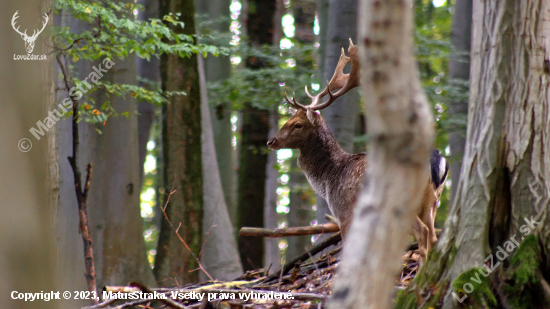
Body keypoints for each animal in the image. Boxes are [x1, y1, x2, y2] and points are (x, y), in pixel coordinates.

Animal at [268, 39, 448, 262]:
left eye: (298, 125)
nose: (271, 141)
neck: (328, 180)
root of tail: (437, 160)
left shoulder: (344, 213)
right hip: (432, 201)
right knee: (432, 236)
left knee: (422, 232)